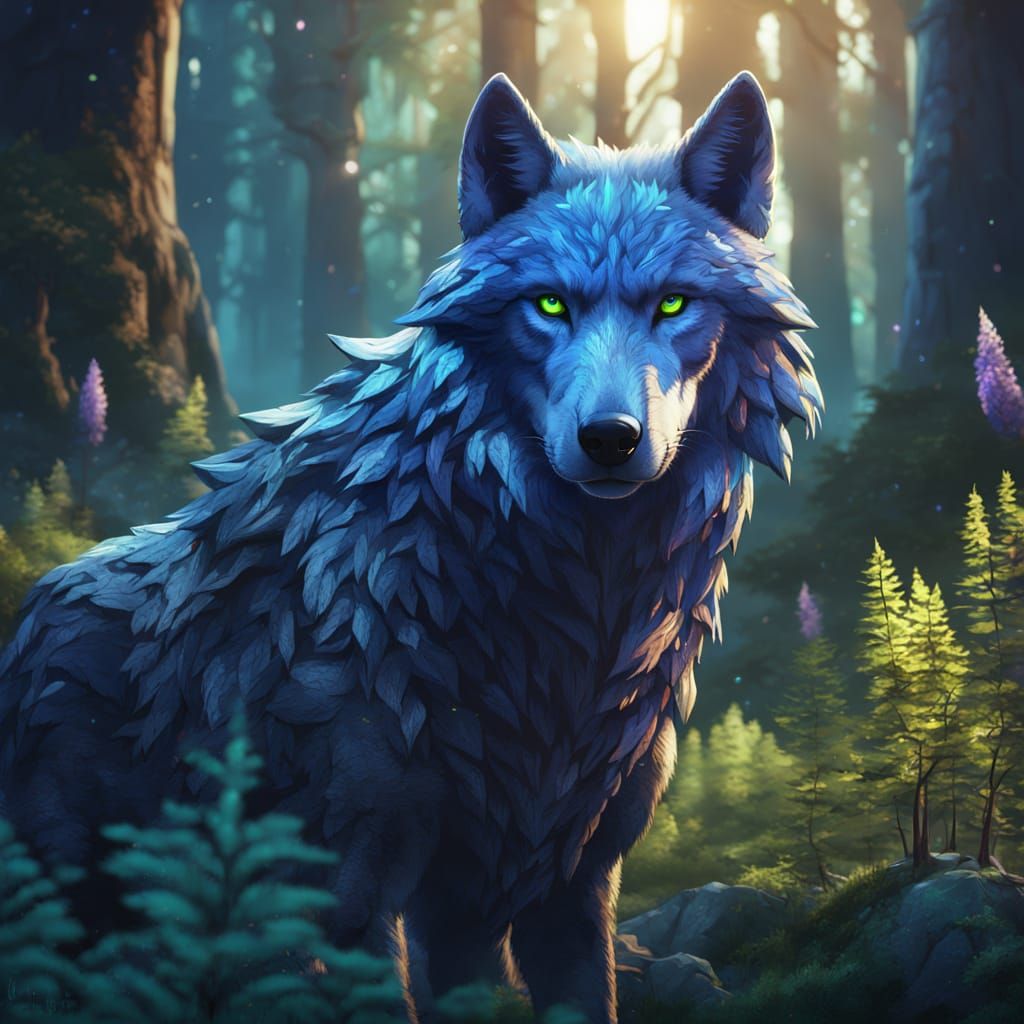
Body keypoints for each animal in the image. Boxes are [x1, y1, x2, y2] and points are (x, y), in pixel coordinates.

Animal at [0, 72, 820, 1021]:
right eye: (549, 304)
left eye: (674, 303)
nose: (610, 439)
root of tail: (32, 607)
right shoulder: (354, 891)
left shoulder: (562, 892)